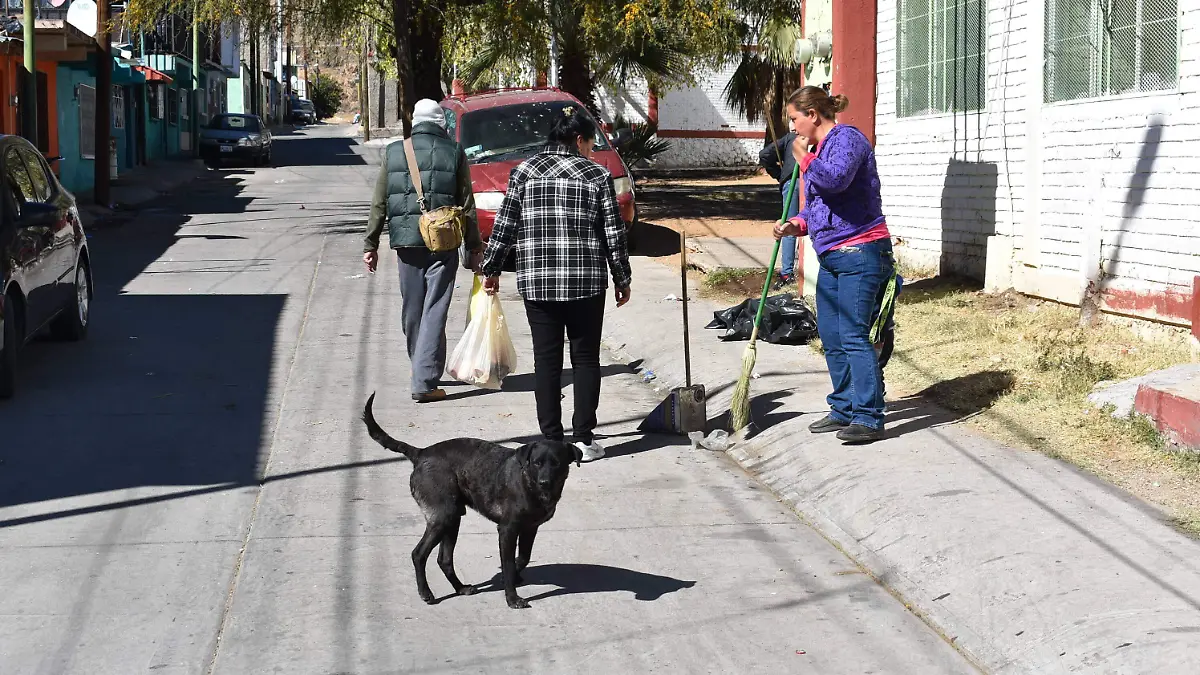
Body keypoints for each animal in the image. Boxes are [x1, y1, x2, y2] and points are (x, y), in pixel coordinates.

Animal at [360, 391, 580, 607]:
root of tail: (421, 453)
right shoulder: (507, 530)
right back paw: (426, 592)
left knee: (444, 559)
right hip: (443, 517)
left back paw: (460, 588)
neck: (529, 483)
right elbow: (508, 564)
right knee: (419, 554)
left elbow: (523, 558)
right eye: (537, 463)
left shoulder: (529, 529)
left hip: (453, 519)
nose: (545, 482)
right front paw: (512, 598)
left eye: (557, 464)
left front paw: (514, 576)